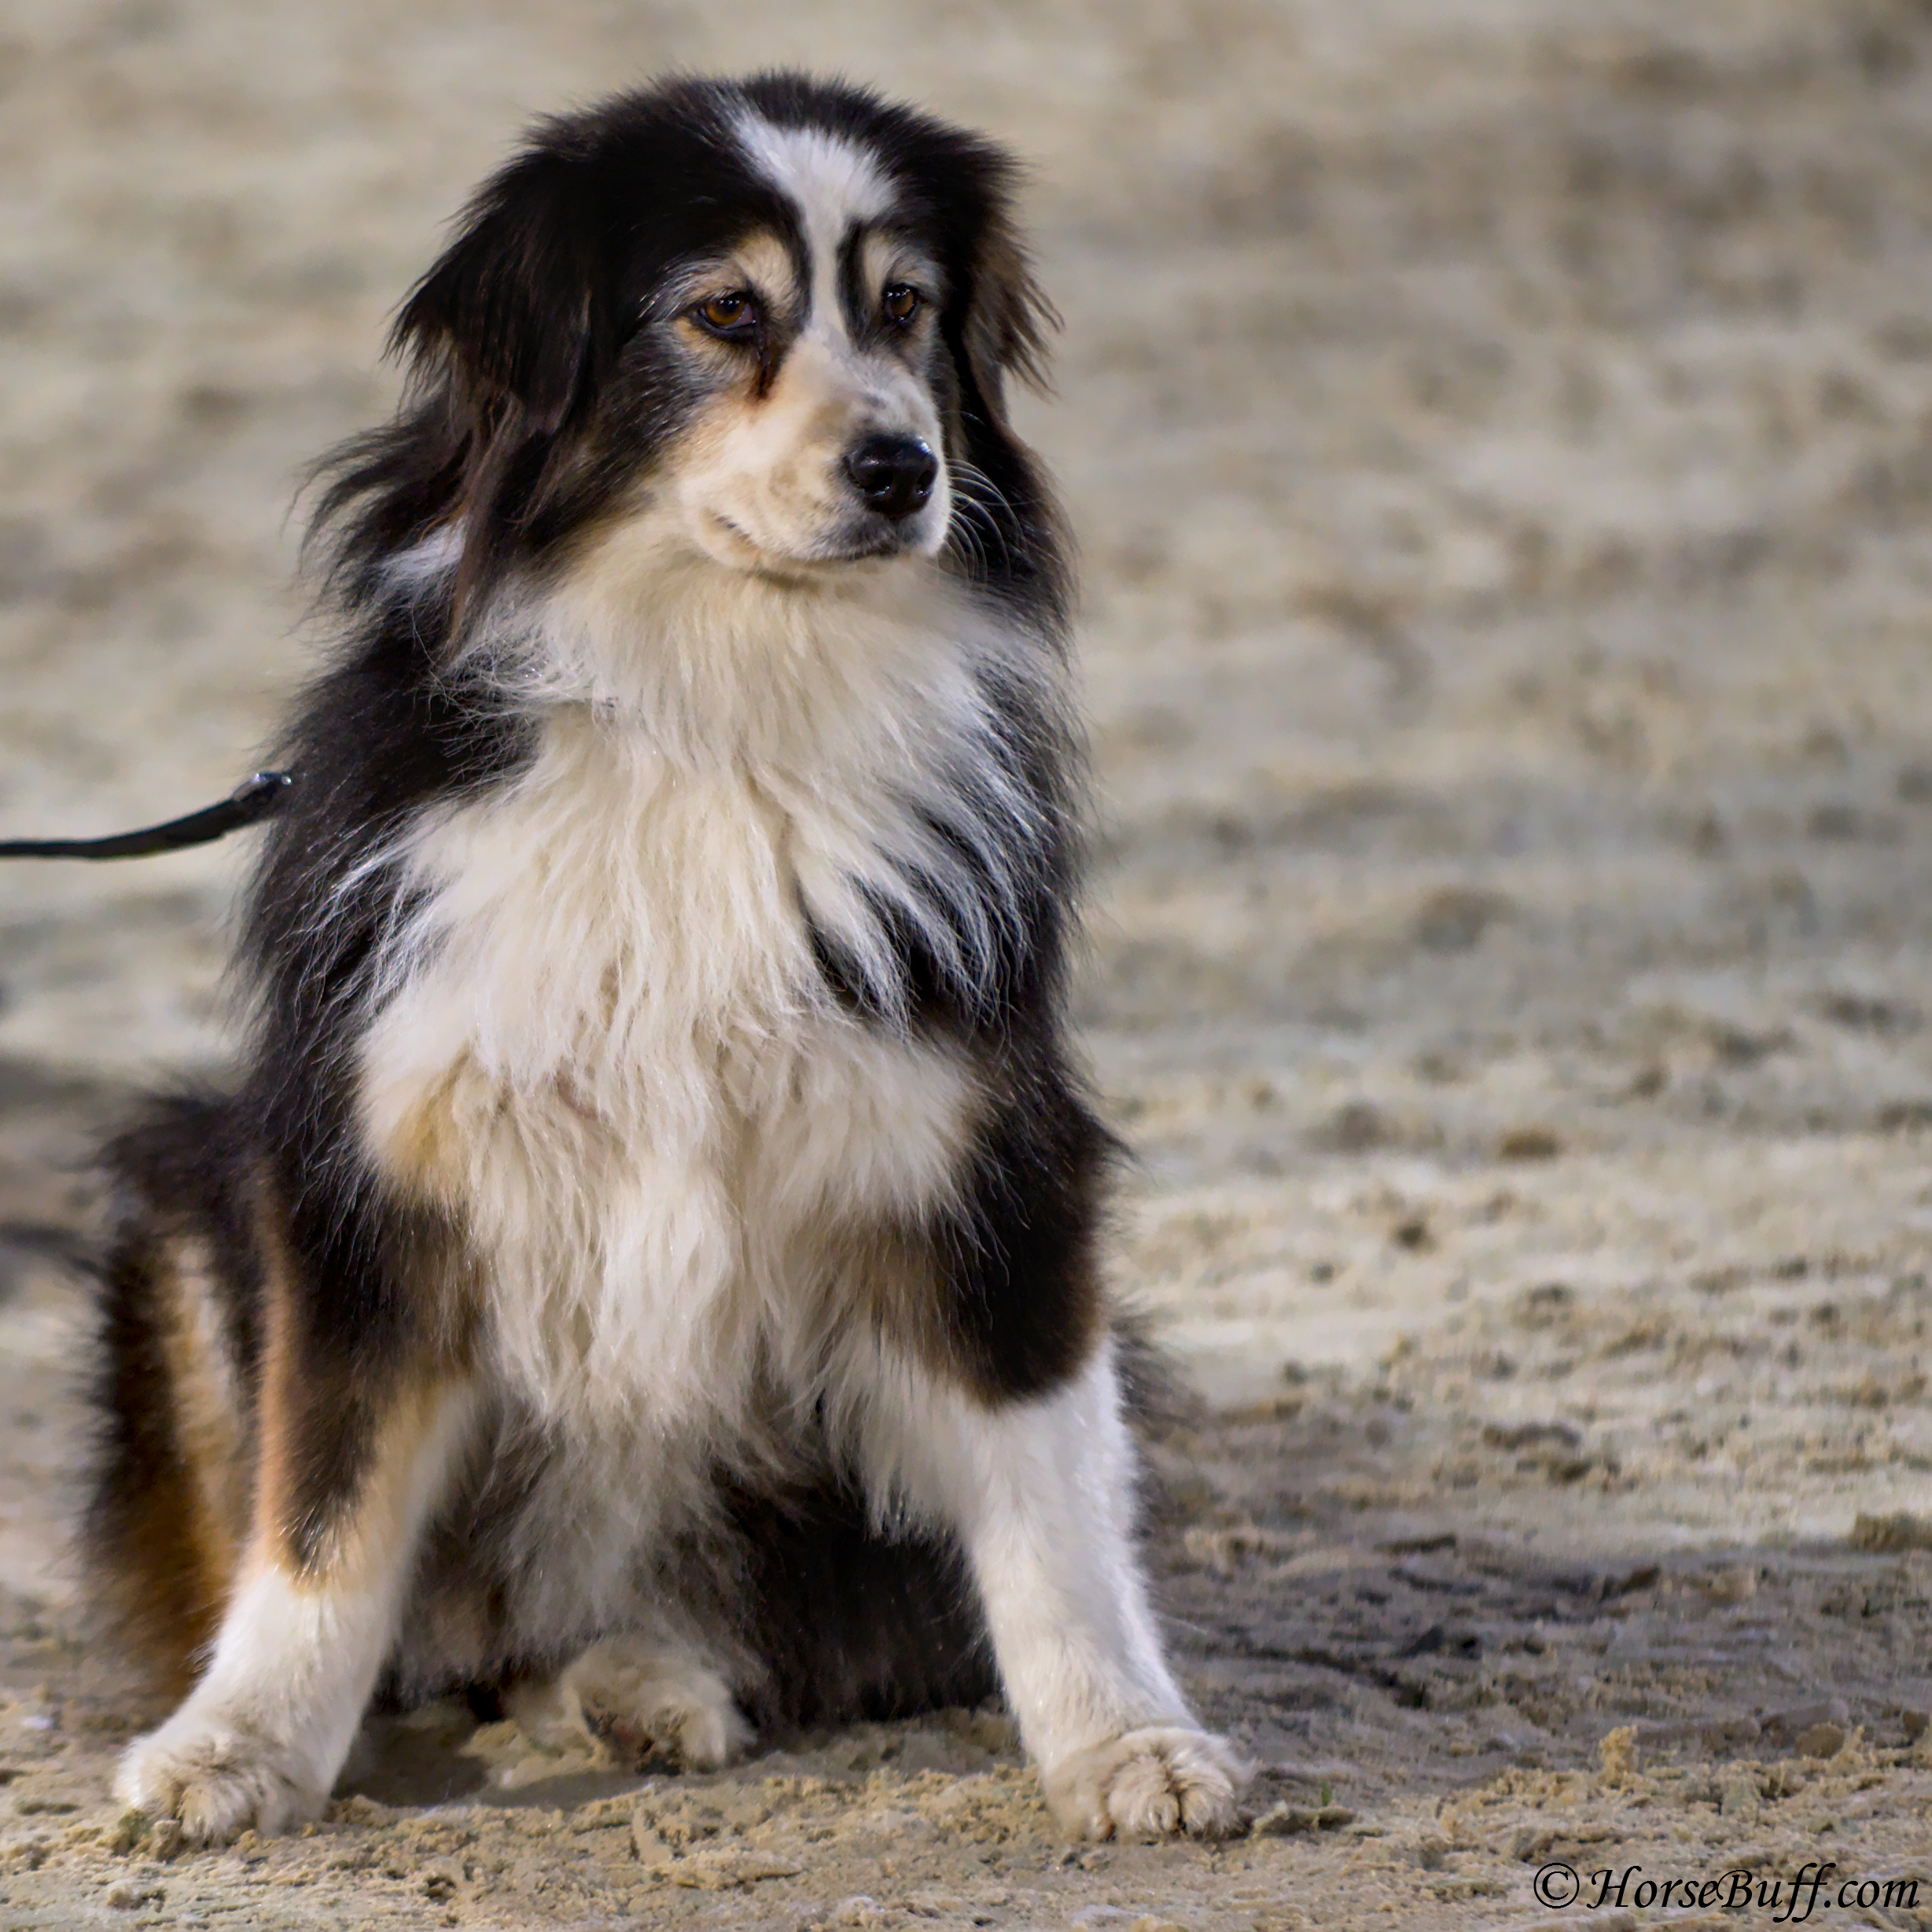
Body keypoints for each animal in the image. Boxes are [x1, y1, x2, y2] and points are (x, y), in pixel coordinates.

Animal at [83, 75, 1244, 1846]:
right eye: (721, 312)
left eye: (907, 307)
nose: (904, 467)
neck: (713, 698)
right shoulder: (363, 1170)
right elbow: (324, 1508)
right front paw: (238, 1746)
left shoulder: (984, 1158)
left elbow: (1054, 1503)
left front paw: (1126, 1741)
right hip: (182, 1219)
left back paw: (644, 1681)